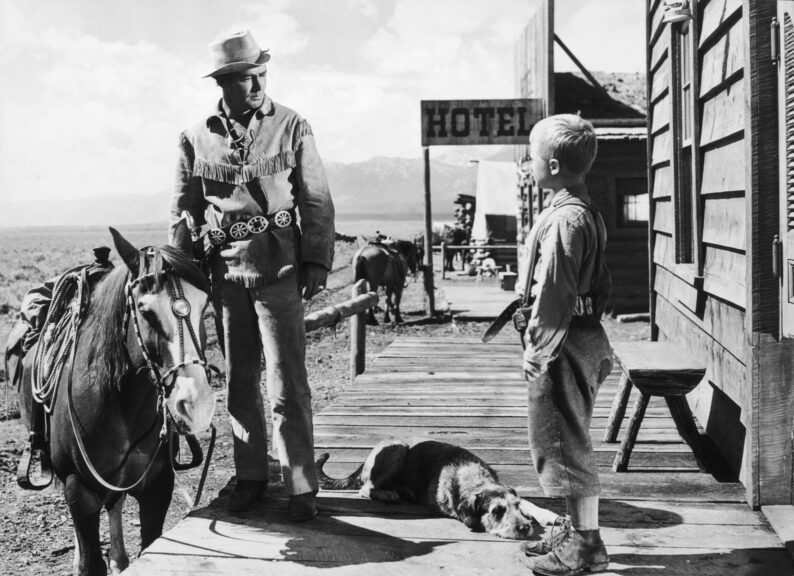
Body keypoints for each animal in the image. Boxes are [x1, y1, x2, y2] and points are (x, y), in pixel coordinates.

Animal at [13, 222, 217, 576]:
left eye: (205, 306)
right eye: (145, 311)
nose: (197, 404)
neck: (122, 406)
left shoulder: (157, 487)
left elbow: (148, 546)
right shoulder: (79, 490)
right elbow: (90, 561)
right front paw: (85, 561)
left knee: (116, 504)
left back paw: (119, 559)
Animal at [312, 440, 560, 540]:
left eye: (515, 507)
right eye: (497, 512)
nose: (525, 528)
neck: (476, 479)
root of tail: (367, 457)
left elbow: (530, 502)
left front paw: (549, 515)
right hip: (398, 449)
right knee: (366, 488)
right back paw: (390, 494)